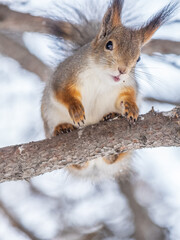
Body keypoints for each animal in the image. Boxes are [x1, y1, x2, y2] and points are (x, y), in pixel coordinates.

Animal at [41, 0, 177, 179]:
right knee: (77, 164)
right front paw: (76, 109)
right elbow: (62, 93)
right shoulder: (65, 76)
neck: (102, 78)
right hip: (50, 117)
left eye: (138, 58)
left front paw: (132, 107)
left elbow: (129, 95)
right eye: (109, 45)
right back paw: (62, 129)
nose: (122, 70)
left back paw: (111, 126)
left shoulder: (128, 85)